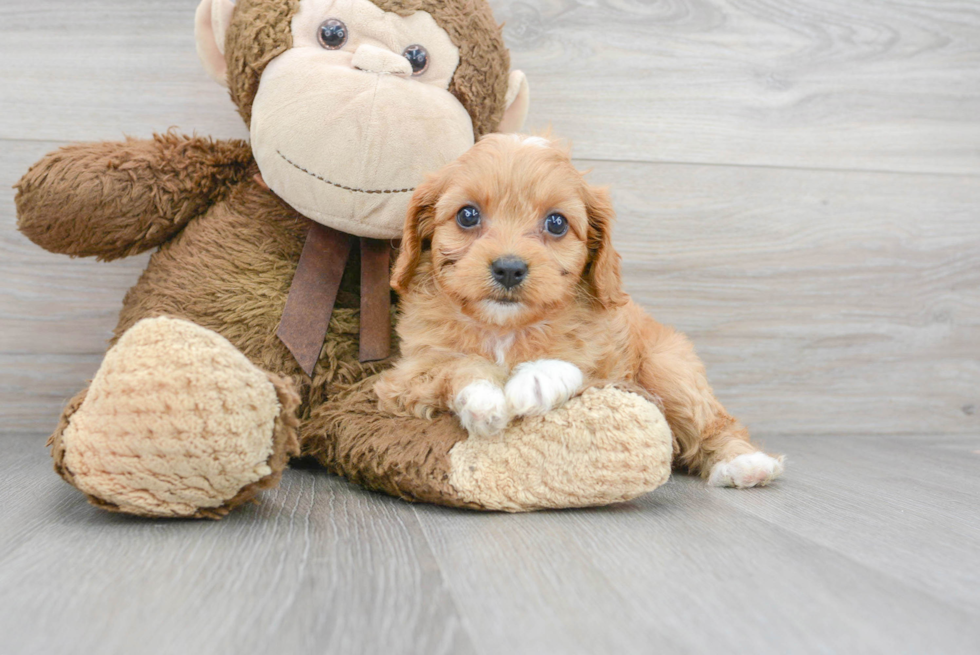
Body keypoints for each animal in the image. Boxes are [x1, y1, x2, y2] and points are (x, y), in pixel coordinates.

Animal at [372, 136, 784, 490]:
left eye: (556, 223)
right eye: (467, 215)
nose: (509, 268)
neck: (504, 328)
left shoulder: (611, 366)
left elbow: (577, 368)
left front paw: (537, 379)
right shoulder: (404, 377)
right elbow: (454, 365)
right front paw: (483, 397)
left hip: (669, 368)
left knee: (716, 423)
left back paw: (744, 463)